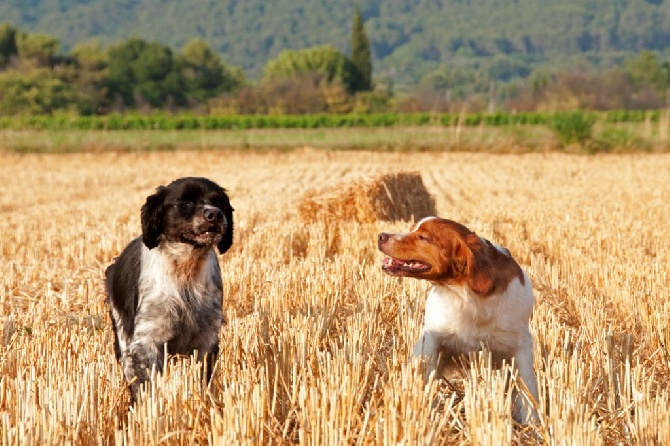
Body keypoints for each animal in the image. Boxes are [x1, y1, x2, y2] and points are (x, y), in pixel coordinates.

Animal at [106, 178, 235, 398]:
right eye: (186, 202)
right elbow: (147, 387)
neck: (184, 271)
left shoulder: (207, 338)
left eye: (219, 202)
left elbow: (204, 381)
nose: (215, 214)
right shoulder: (146, 340)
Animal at [378, 218, 540, 424]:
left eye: (423, 237)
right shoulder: (431, 340)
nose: (381, 236)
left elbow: (528, 391)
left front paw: (533, 426)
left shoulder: (520, 346)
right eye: (412, 229)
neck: (465, 293)